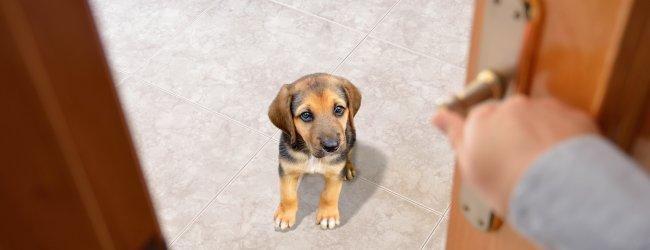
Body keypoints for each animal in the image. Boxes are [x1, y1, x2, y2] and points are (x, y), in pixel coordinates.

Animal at [268, 72, 362, 230]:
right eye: (306, 115)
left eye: (339, 109)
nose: (332, 147)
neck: (311, 154)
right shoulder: (287, 170)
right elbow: (288, 195)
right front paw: (285, 215)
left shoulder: (334, 173)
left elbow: (329, 195)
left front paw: (328, 216)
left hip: (351, 135)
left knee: (348, 151)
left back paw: (348, 167)